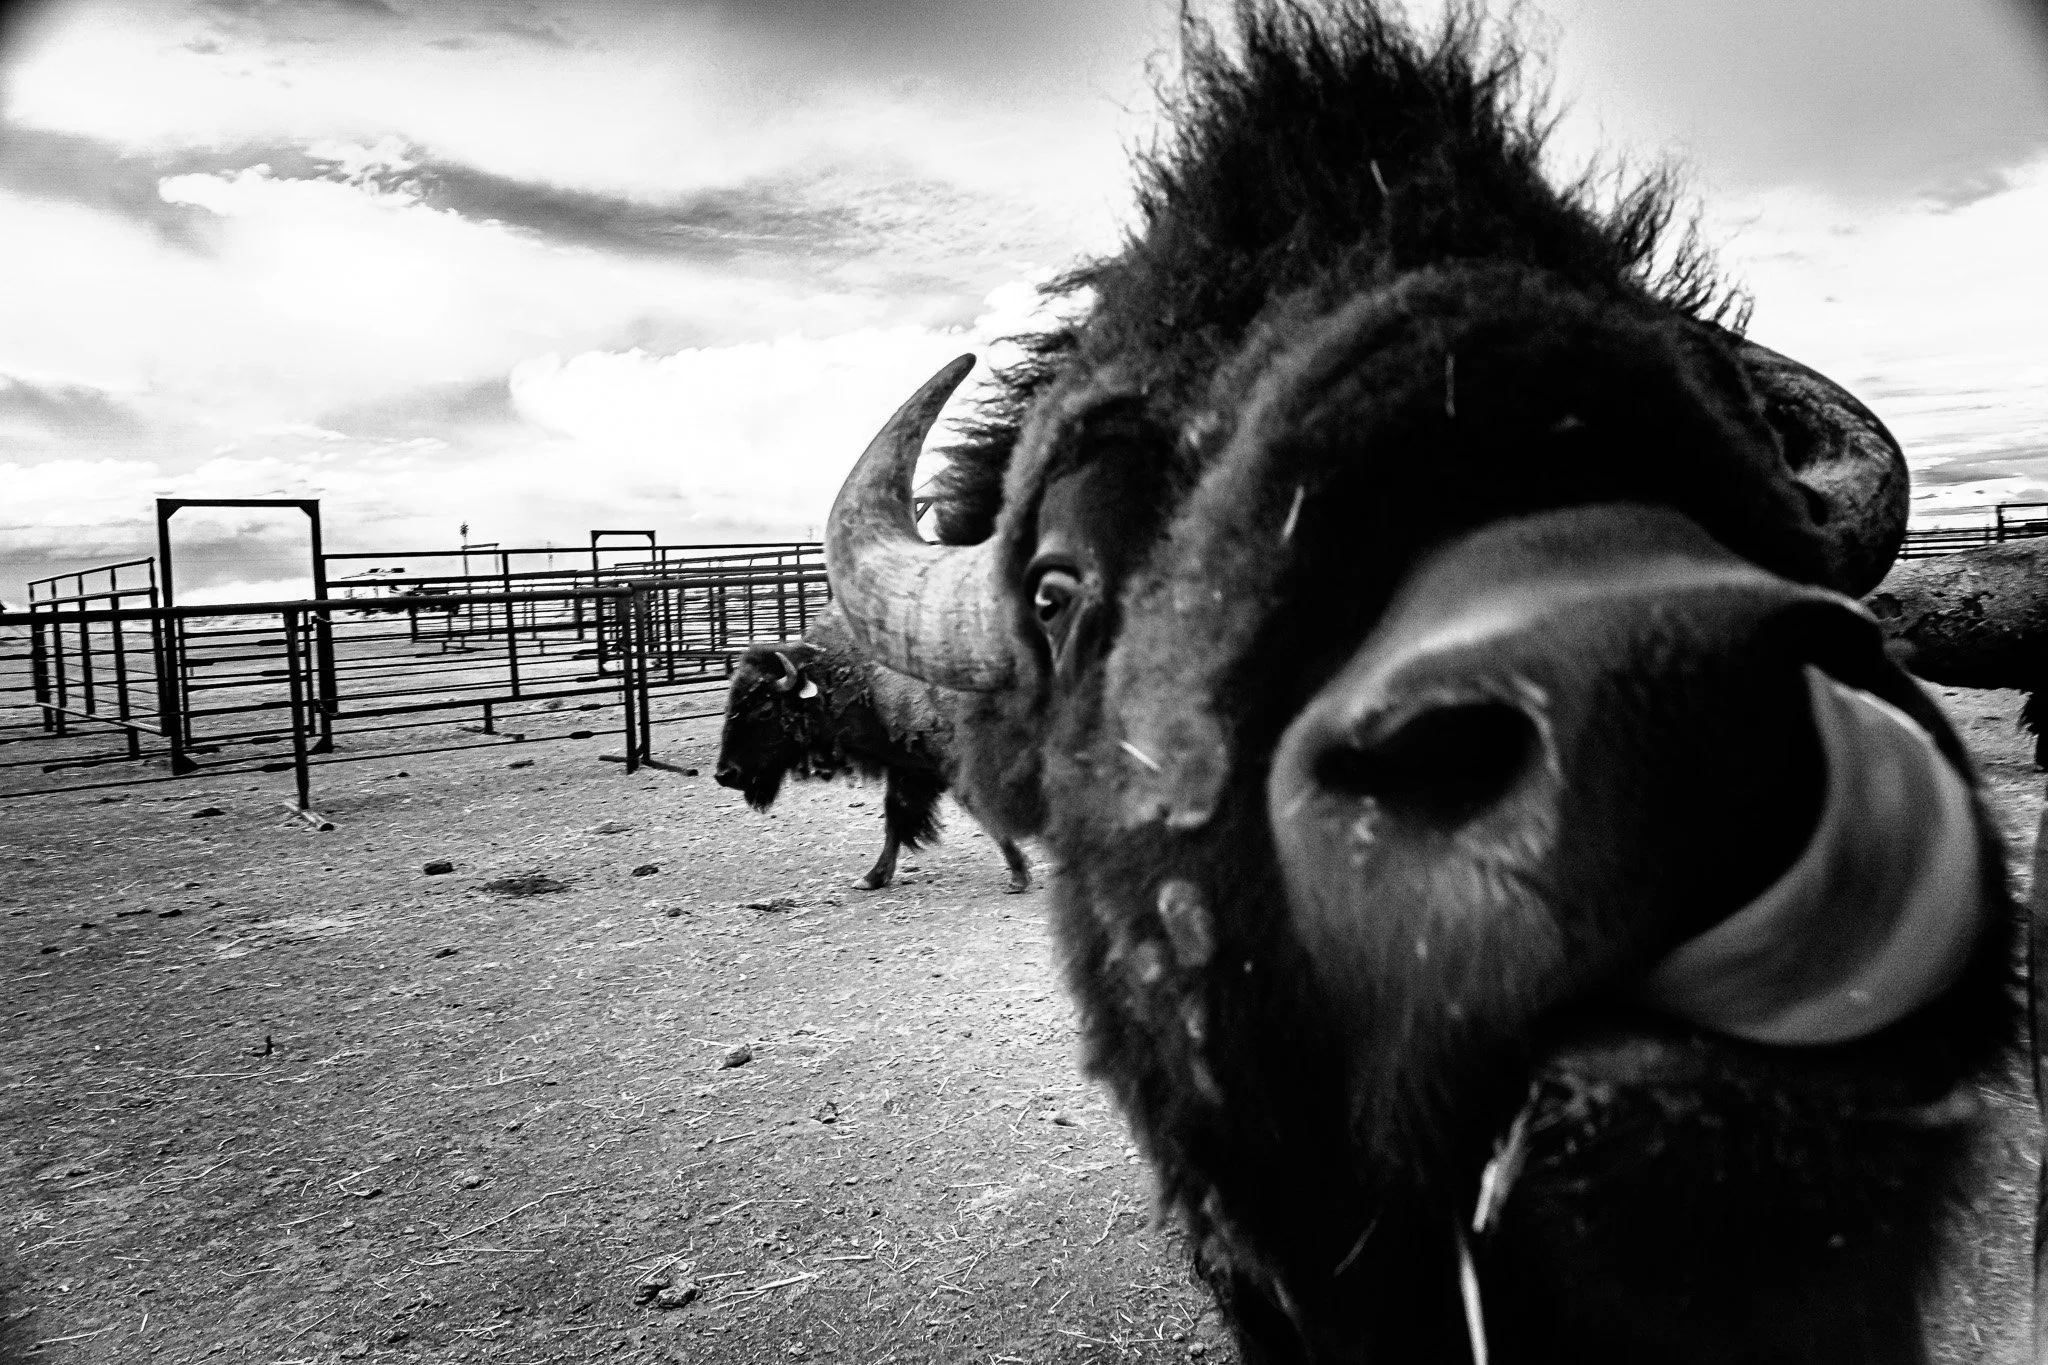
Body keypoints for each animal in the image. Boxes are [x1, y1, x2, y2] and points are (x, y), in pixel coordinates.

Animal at [713, 604, 1031, 893]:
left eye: (765, 710)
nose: (725, 774)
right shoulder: (908, 767)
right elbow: (895, 818)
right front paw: (872, 878)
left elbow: (982, 810)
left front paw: (1018, 876)